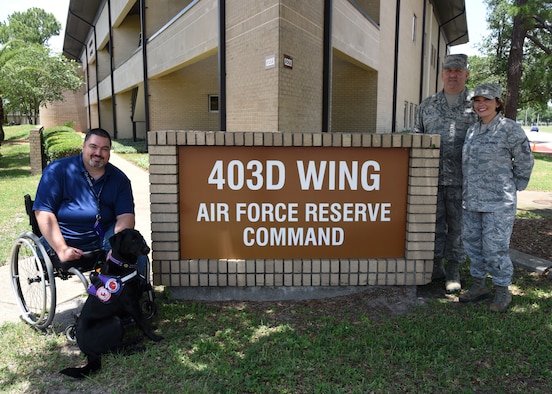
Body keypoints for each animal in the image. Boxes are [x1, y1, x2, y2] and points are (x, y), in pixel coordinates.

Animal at [61, 229, 164, 378]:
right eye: (133, 240)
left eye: (141, 237)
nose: (147, 249)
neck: (124, 265)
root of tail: (86, 350)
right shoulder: (131, 304)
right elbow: (143, 322)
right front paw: (154, 337)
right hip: (114, 321)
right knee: (115, 351)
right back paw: (137, 348)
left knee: (117, 346)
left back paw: (135, 340)